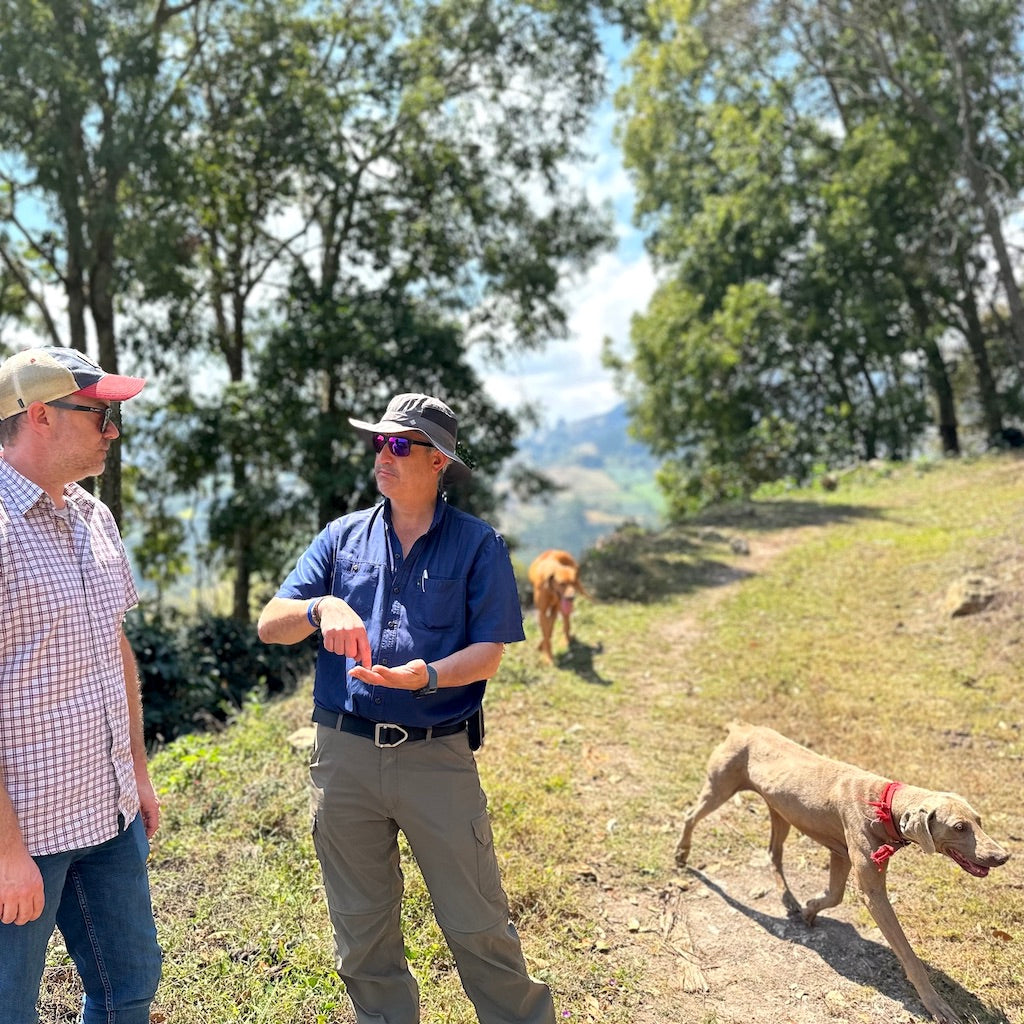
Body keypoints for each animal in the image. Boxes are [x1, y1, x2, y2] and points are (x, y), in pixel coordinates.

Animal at [675, 720, 1011, 1024]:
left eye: (979, 820)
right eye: (959, 827)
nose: (1003, 856)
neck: (883, 800)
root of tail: (741, 727)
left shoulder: (840, 855)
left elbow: (834, 895)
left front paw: (810, 909)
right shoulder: (871, 889)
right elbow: (906, 952)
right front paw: (934, 1003)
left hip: (779, 809)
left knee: (773, 852)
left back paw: (790, 901)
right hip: (720, 788)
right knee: (690, 816)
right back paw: (681, 854)